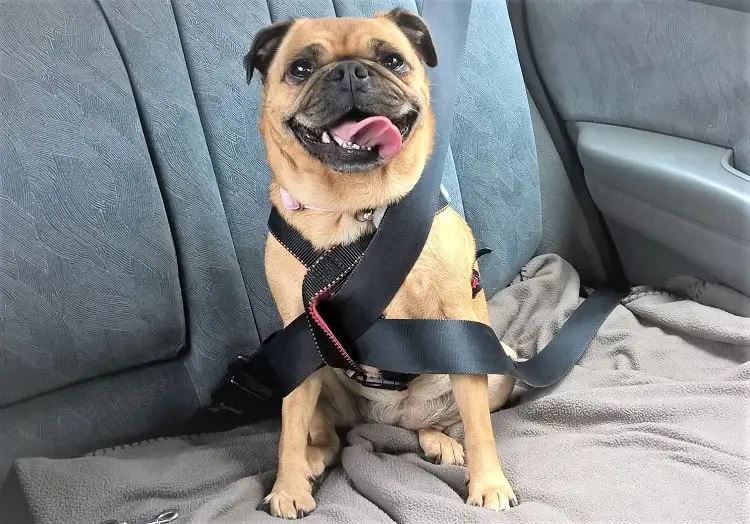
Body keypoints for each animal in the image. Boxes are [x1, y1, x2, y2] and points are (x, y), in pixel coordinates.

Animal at [244, 10, 520, 516]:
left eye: (393, 60)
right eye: (299, 69)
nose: (350, 71)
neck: (356, 209)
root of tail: (394, 419)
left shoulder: (460, 329)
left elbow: (479, 428)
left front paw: (489, 483)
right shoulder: (297, 343)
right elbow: (290, 430)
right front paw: (288, 487)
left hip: (499, 365)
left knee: (446, 420)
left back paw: (440, 441)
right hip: (322, 381)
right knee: (329, 435)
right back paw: (313, 461)